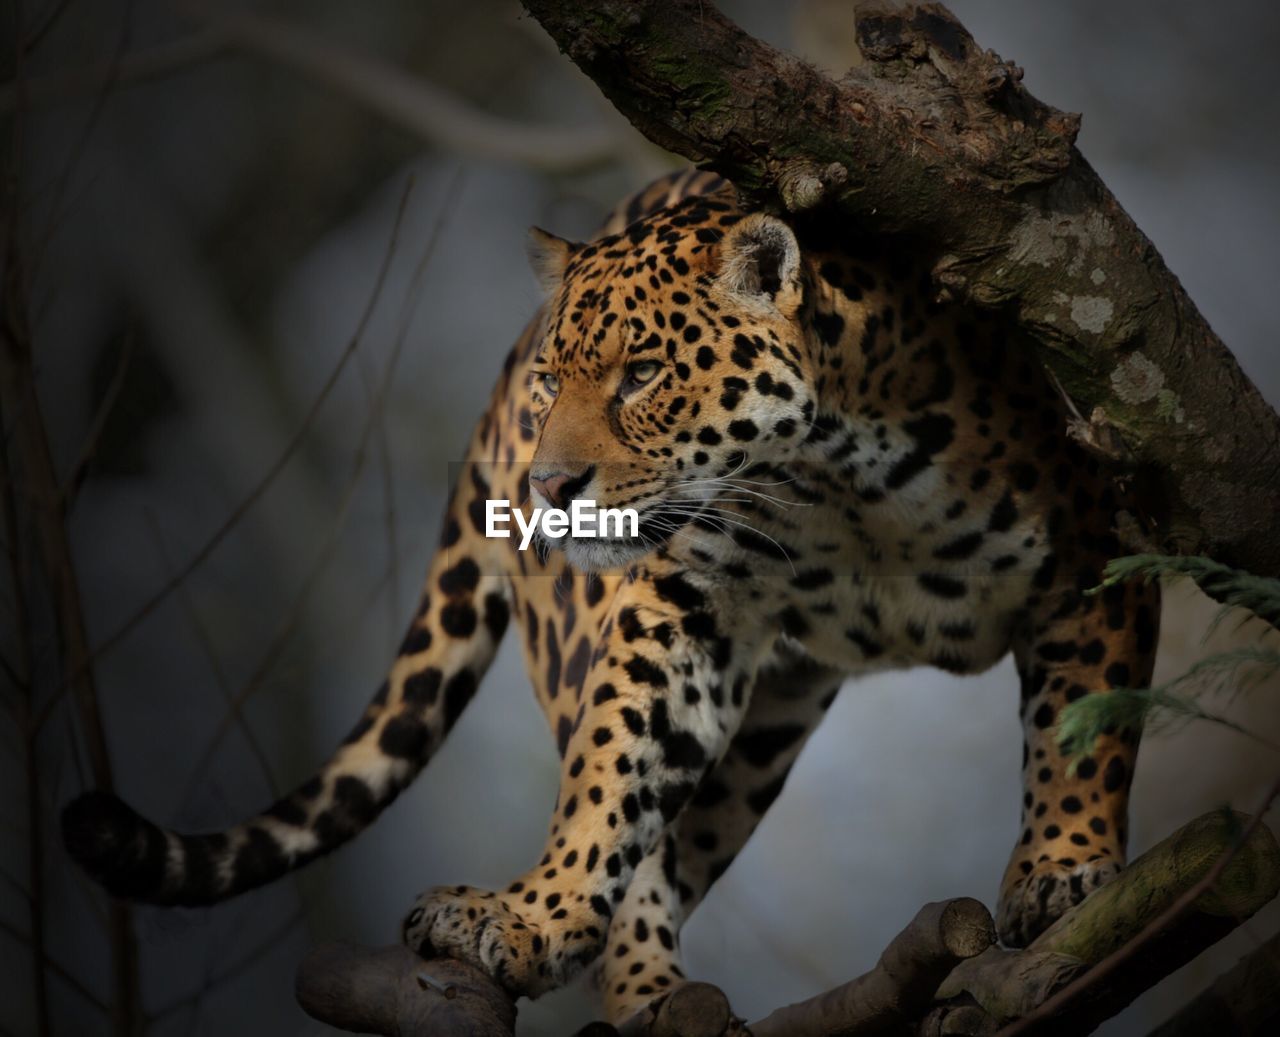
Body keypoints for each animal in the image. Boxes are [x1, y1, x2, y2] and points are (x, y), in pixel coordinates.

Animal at [62, 170, 1162, 1019]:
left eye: (641, 374)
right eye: (561, 381)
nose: (551, 484)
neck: (841, 477)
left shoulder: (1097, 549)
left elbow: (1082, 725)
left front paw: (1061, 870)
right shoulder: (682, 610)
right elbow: (609, 771)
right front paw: (537, 914)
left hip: (764, 726)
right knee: (650, 847)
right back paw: (641, 990)